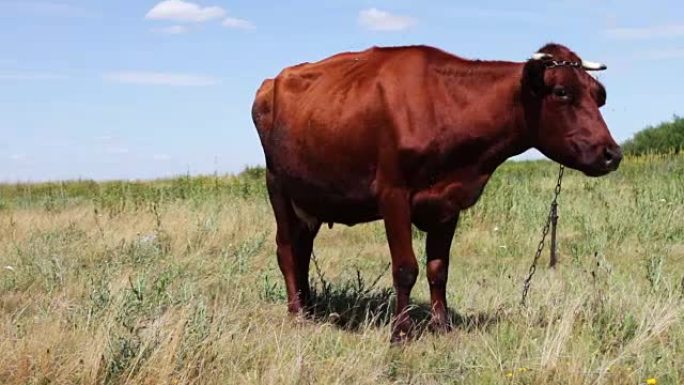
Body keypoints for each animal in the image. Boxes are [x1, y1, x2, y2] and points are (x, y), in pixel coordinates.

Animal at [254, 43, 624, 340]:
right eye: (561, 92)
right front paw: (401, 332)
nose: (612, 154)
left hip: (311, 199)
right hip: (278, 187)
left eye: (599, 95)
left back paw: (310, 308)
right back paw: (297, 314)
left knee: (302, 250)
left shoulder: (448, 203)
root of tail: (272, 82)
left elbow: (438, 269)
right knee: (286, 250)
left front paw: (442, 326)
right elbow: (405, 269)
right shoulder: (393, 194)